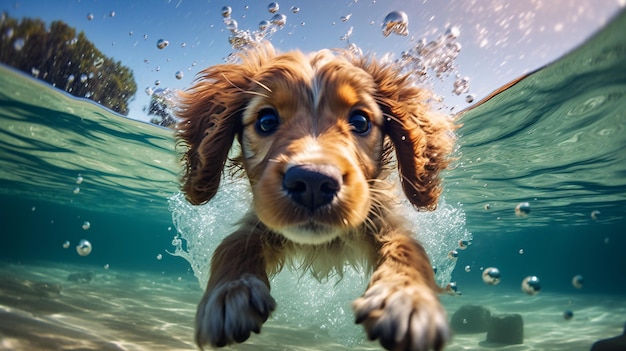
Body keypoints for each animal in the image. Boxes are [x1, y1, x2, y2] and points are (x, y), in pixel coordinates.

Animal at [176, 42, 454, 351]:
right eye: (266, 121)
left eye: (360, 121)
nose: (313, 182)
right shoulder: (261, 221)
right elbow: (233, 244)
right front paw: (230, 292)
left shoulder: (383, 218)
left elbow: (408, 248)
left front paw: (405, 298)